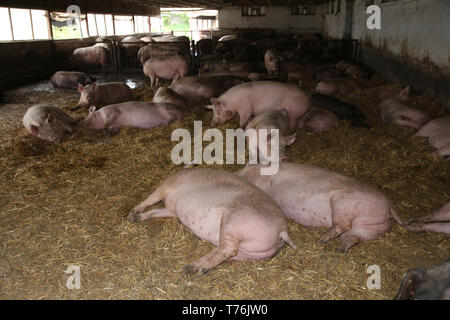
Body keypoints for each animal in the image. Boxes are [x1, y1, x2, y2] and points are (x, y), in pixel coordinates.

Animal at [126, 168, 296, 276]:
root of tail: (282, 230)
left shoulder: (167, 187)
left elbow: (150, 199)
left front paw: (131, 215)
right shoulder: (171, 210)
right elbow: (154, 211)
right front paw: (136, 217)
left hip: (233, 224)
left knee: (227, 250)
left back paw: (199, 270)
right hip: (251, 254)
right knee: (225, 252)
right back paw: (190, 268)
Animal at [237, 162, 402, 252]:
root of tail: (389, 208)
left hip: (344, 203)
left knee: (343, 225)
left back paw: (321, 240)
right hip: (373, 229)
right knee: (352, 236)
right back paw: (340, 249)